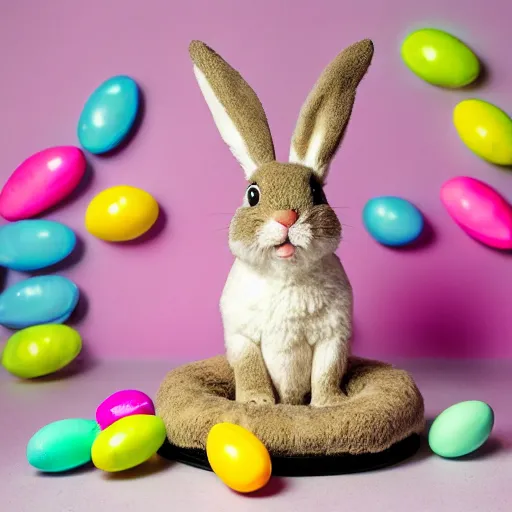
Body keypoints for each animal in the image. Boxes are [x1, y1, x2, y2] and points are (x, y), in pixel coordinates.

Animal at [190, 39, 374, 408]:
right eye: (252, 194)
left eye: (317, 192)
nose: (287, 217)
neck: (285, 276)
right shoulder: (242, 337)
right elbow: (250, 369)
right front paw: (256, 403)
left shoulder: (333, 338)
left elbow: (326, 372)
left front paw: (329, 404)